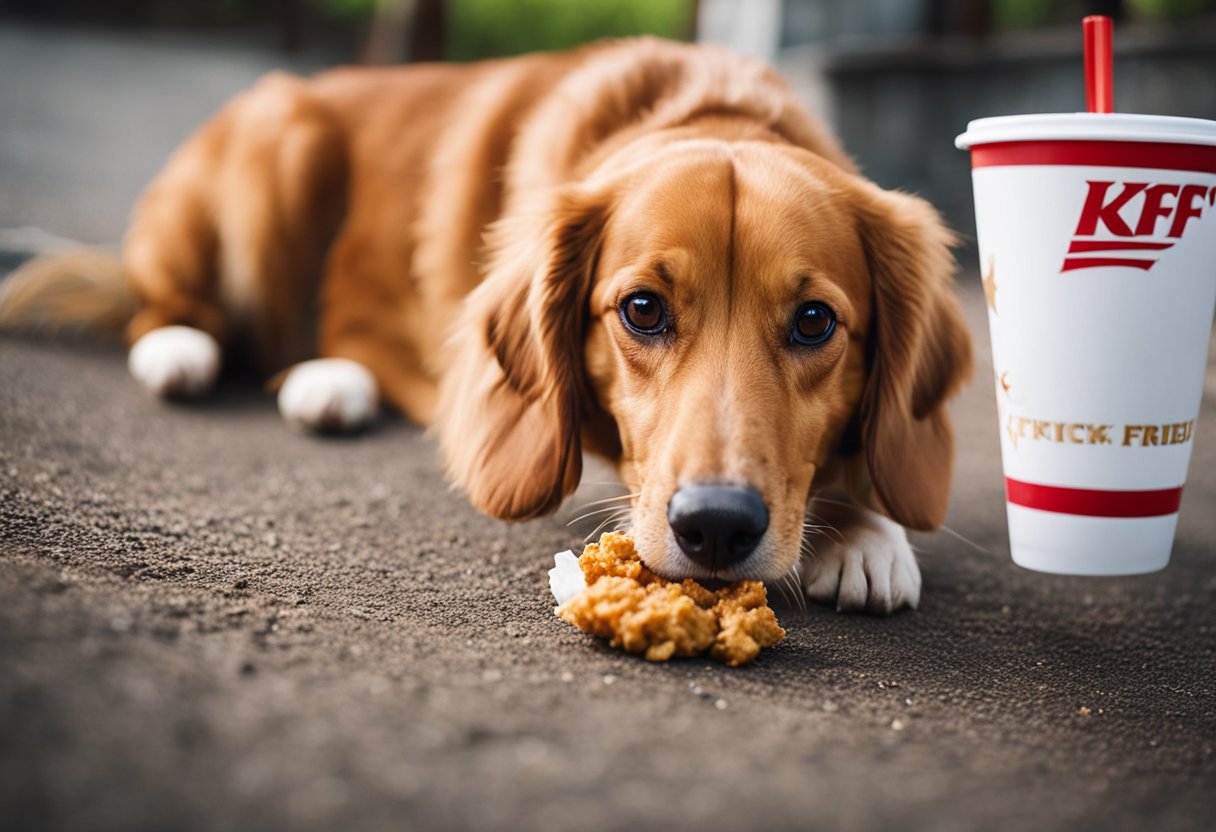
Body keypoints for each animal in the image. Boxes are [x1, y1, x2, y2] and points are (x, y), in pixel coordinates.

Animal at [0, 37, 972, 610]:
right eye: (642, 310)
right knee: (186, 314)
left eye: (813, 323)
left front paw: (864, 530)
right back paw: (196, 352)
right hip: (281, 140)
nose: (718, 529)